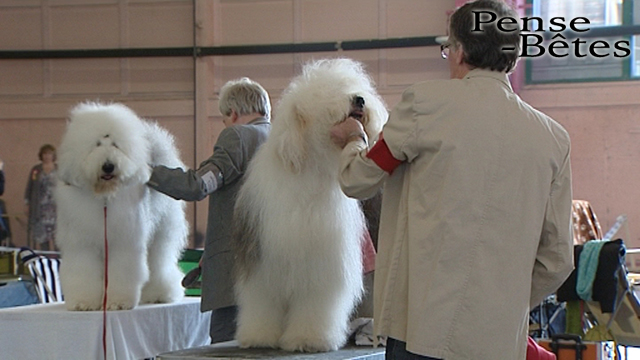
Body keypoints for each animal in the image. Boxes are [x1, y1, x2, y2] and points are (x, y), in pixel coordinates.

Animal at [55, 102, 188, 310]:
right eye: (97, 144)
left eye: (116, 145)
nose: (108, 166)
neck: (104, 198)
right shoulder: (82, 244)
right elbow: (83, 272)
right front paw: (84, 302)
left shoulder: (124, 242)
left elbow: (123, 271)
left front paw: (118, 302)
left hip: (162, 232)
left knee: (160, 262)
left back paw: (160, 294)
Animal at [232, 58, 388, 352]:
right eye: (328, 93)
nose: (359, 99)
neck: (310, 172)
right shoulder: (263, 261)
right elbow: (263, 302)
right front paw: (260, 335)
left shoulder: (322, 263)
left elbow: (315, 305)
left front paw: (308, 339)